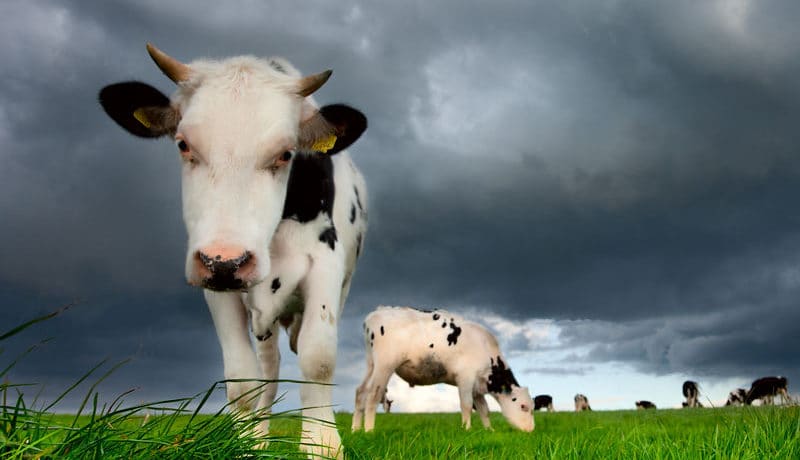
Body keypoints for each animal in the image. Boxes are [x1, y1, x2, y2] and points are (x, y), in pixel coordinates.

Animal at [97, 42, 368, 456]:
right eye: (183, 144)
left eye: (286, 153)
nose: (228, 261)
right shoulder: (216, 284)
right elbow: (242, 378)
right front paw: (245, 443)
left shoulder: (325, 264)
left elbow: (318, 360)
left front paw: (323, 446)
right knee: (269, 373)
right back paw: (261, 437)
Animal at [354, 308, 536, 434]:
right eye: (523, 406)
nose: (530, 430)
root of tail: (375, 314)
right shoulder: (465, 378)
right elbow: (467, 405)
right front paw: (466, 429)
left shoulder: (477, 386)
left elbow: (484, 410)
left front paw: (489, 430)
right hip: (385, 365)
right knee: (373, 394)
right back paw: (369, 430)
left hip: (371, 364)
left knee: (361, 391)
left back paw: (356, 430)